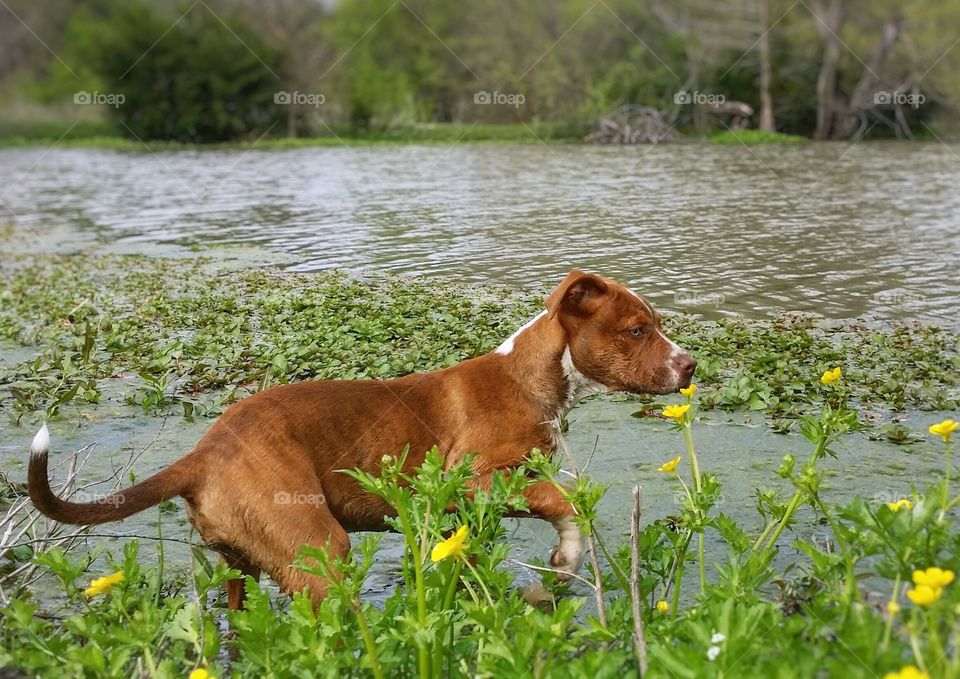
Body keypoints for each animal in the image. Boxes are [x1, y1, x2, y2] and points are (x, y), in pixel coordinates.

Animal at [26, 268, 692, 608]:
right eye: (637, 329)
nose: (690, 367)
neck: (535, 376)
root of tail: (201, 456)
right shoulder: (477, 480)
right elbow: (565, 500)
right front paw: (566, 558)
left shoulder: (459, 511)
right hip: (320, 550)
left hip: (239, 568)